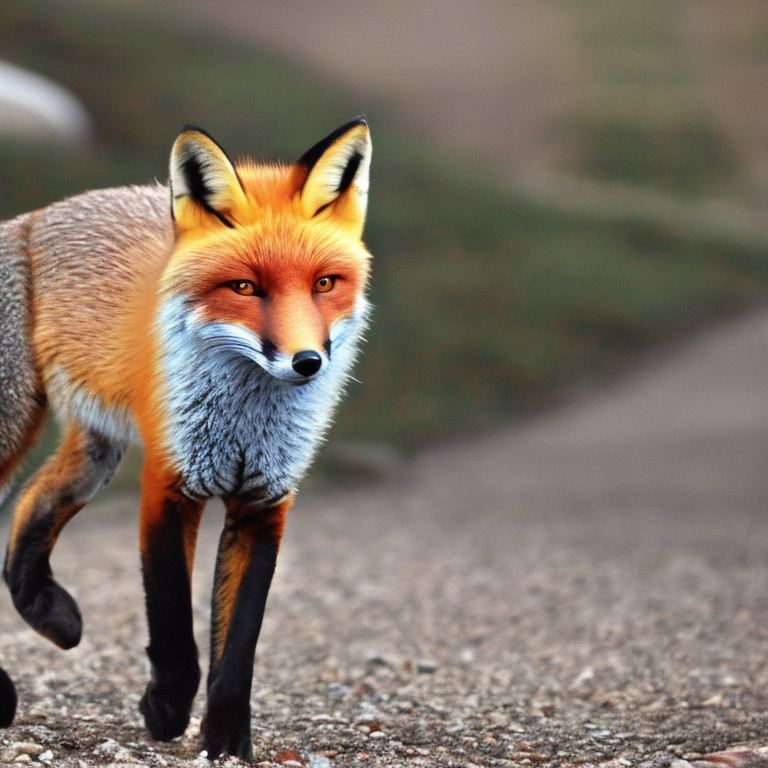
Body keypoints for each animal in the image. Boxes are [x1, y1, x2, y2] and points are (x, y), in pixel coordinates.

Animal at [0, 117, 373, 760]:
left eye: (326, 283)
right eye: (245, 288)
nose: (307, 362)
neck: (245, 422)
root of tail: (30, 216)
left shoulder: (265, 499)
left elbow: (238, 648)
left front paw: (226, 742)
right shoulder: (171, 481)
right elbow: (174, 622)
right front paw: (168, 709)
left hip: (96, 454)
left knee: (31, 508)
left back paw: (48, 613)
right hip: (15, 424)